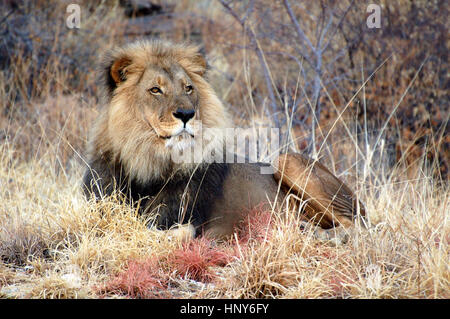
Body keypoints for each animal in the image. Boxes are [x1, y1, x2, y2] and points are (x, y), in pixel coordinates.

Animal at [81, 41, 366, 244]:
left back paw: (312, 232)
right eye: (155, 90)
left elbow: (176, 231)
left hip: (287, 160)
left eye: (188, 88)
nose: (186, 114)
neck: (148, 159)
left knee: (357, 227)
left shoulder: (187, 218)